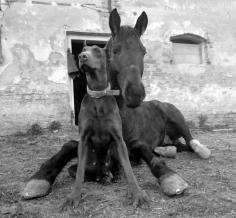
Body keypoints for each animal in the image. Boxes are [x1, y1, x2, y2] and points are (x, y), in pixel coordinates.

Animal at [22, 8, 210, 203]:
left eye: (143, 51)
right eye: (114, 50)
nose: (135, 94)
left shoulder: (133, 143)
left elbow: (148, 155)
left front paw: (170, 178)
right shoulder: (87, 140)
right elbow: (69, 148)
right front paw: (40, 178)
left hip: (176, 117)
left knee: (191, 141)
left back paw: (200, 150)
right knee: (177, 146)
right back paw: (169, 150)